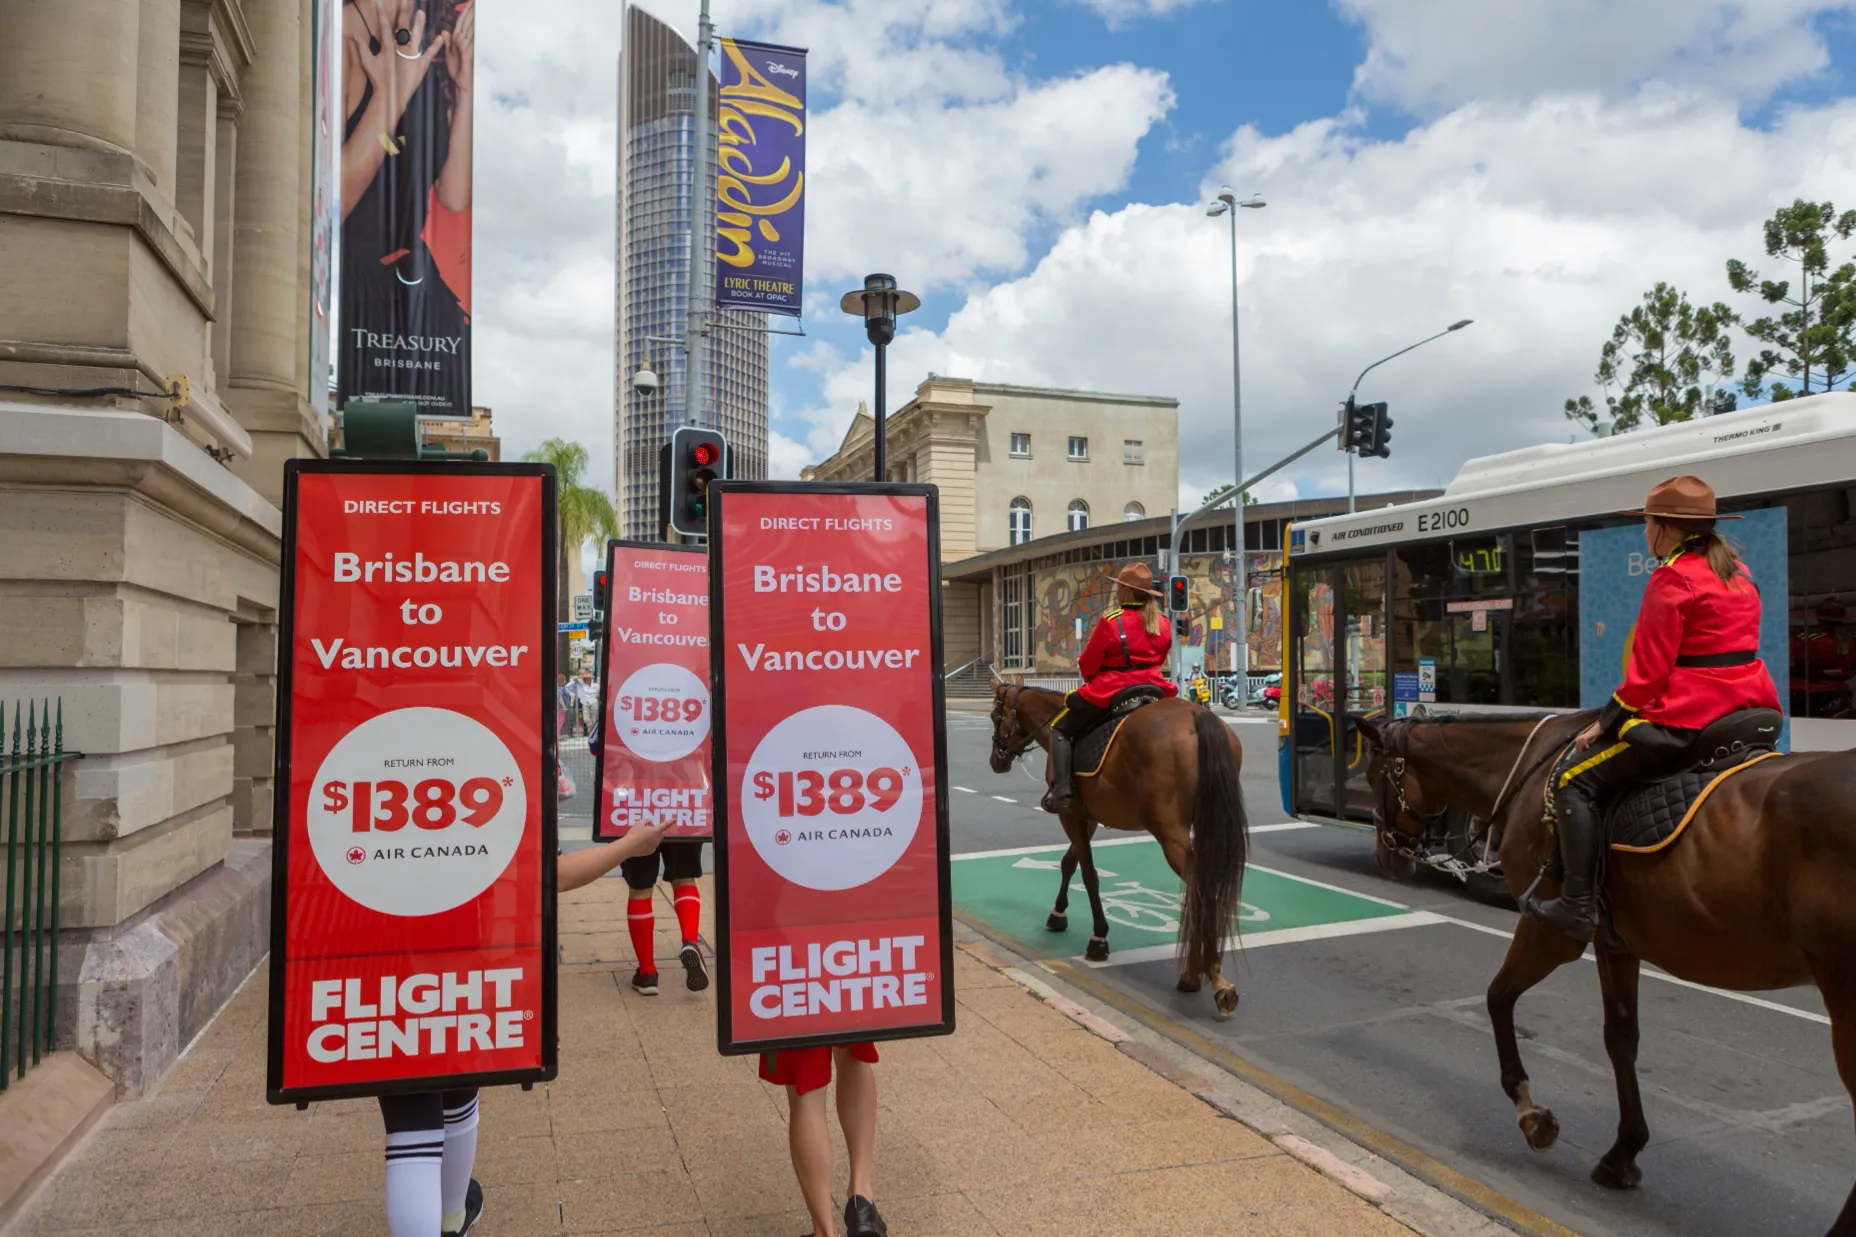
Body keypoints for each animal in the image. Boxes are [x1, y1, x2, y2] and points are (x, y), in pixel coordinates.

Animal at [987, 683, 1247, 1010]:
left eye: (994, 716)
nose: (996, 761)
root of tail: (1196, 714)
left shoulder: (1070, 815)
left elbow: (1089, 875)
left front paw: (1098, 938)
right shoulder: (1086, 817)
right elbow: (1069, 862)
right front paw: (1058, 914)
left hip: (1170, 833)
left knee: (1200, 891)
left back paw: (1208, 976)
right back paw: (1201, 974)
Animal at [1358, 709, 1856, 1225]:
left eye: (1373, 775)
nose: (1386, 856)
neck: (1524, 773)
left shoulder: (1550, 931)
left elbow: (1497, 997)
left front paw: (1529, 1112)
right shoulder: (1614, 945)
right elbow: (1621, 1040)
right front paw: (1624, 1152)